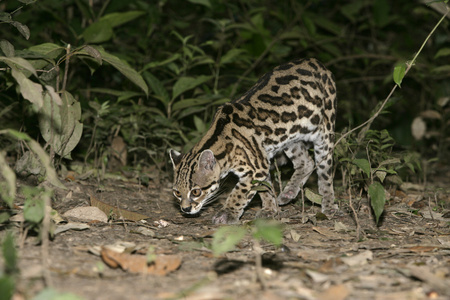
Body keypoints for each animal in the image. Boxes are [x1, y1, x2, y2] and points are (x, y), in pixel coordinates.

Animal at [171, 58, 336, 225]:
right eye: (177, 192)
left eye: (196, 191)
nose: (185, 209)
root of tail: (313, 61)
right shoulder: (262, 162)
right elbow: (265, 189)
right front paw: (270, 209)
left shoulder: (257, 166)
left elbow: (240, 193)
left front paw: (228, 212)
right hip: (290, 138)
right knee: (306, 162)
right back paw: (288, 192)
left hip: (325, 130)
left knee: (325, 172)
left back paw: (329, 204)